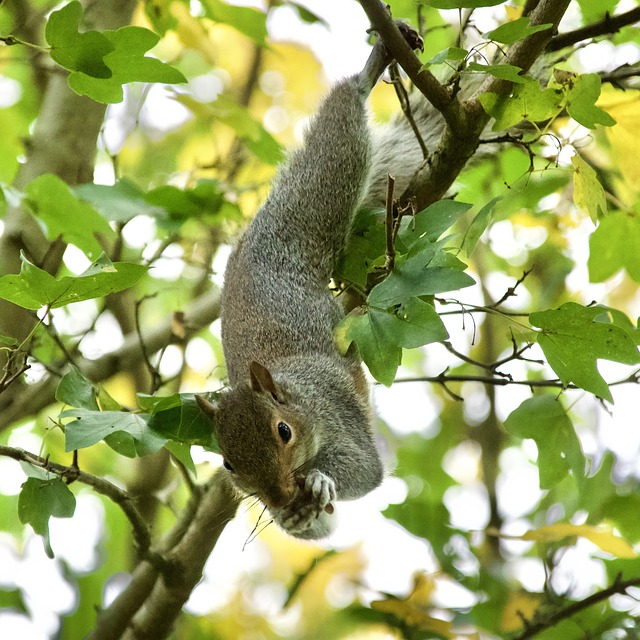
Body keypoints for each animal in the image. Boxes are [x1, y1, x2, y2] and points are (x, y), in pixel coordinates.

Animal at [198, 22, 430, 536]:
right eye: (227, 463)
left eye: (283, 431)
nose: (279, 496)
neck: (294, 392)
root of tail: (258, 233)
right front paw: (294, 516)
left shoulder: (335, 407)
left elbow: (364, 467)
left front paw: (324, 480)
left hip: (320, 195)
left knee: (338, 135)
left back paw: (375, 62)